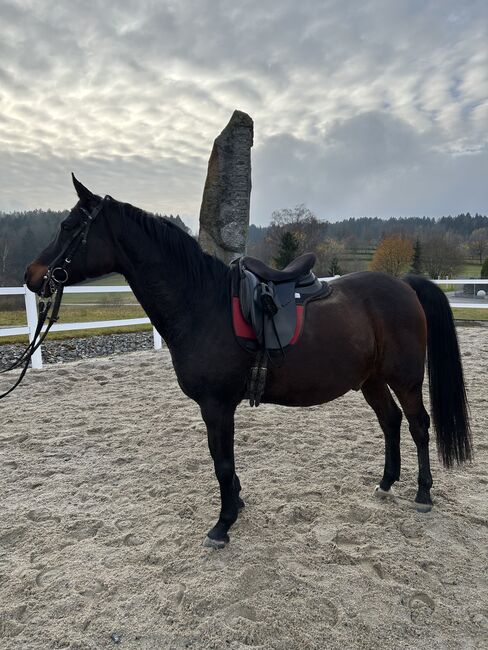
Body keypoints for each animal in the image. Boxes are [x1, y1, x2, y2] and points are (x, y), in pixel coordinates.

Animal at [24, 176, 470, 548]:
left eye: (68, 227)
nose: (32, 275)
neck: (202, 304)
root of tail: (404, 286)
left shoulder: (216, 405)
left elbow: (221, 462)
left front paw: (222, 525)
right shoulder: (221, 407)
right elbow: (225, 461)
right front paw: (235, 505)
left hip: (404, 378)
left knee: (418, 425)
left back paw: (423, 493)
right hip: (371, 379)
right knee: (390, 422)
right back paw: (386, 483)